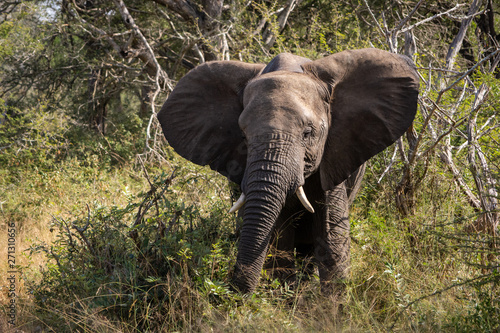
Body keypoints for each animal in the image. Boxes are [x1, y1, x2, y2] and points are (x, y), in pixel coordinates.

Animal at [158, 48, 420, 294]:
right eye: (243, 136)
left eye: (308, 133)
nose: (231, 294)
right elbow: (279, 235)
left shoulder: (335, 152)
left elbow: (330, 234)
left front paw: (332, 309)